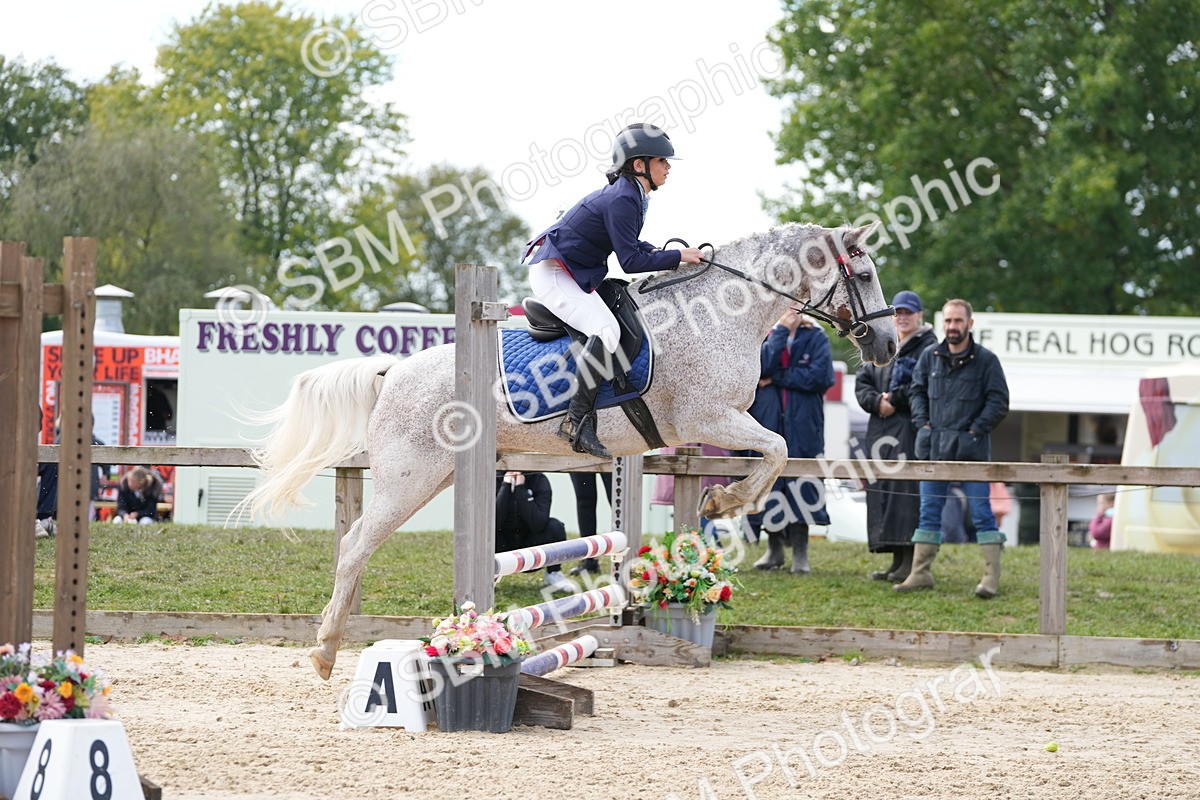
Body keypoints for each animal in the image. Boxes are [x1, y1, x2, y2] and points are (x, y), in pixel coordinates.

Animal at [244, 221, 897, 679]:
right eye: (864, 274)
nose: (889, 347)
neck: (720, 315)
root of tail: (394, 370)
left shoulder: (716, 423)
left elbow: (776, 451)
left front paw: (721, 503)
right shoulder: (710, 417)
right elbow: (779, 447)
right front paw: (723, 503)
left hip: (440, 476)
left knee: (357, 545)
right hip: (411, 476)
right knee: (355, 546)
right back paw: (326, 650)